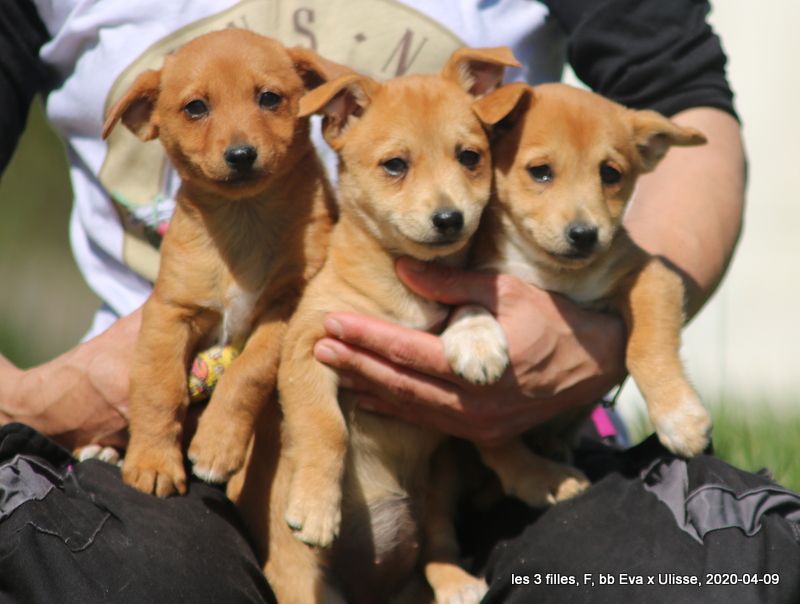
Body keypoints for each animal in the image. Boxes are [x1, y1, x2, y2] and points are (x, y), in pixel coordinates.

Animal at [101, 29, 340, 496]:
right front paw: (153, 462)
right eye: (196, 107)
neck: (243, 220)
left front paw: (216, 445)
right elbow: (158, 387)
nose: (242, 154)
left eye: (269, 98)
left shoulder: (286, 309)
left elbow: (248, 372)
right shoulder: (170, 311)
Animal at [444, 81, 712, 458]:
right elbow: (466, 302)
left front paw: (679, 415)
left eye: (610, 174)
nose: (585, 235)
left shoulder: (650, 275)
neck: (556, 274)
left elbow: (647, 344)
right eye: (540, 171)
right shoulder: (482, 273)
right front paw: (475, 341)